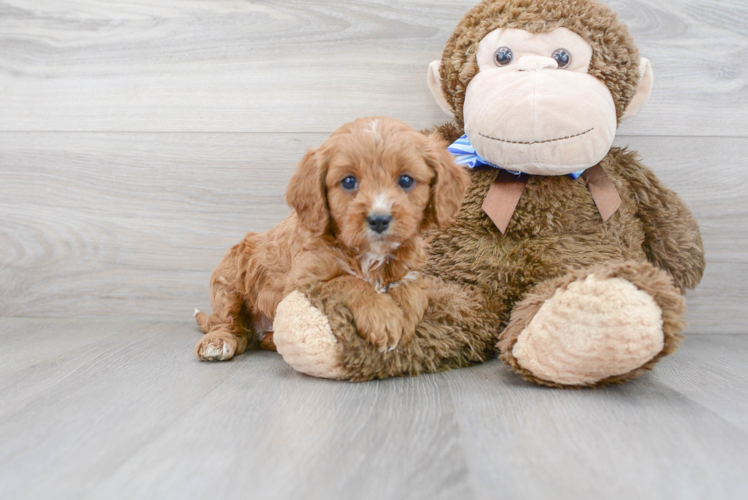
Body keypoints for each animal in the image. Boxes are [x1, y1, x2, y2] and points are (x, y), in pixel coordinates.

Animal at [193, 117, 468, 360]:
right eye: (348, 181)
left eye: (406, 180)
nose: (379, 219)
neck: (370, 255)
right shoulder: (304, 281)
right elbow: (349, 282)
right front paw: (382, 317)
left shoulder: (412, 271)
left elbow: (414, 291)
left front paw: (405, 317)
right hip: (228, 279)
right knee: (228, 323)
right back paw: (217, 343)